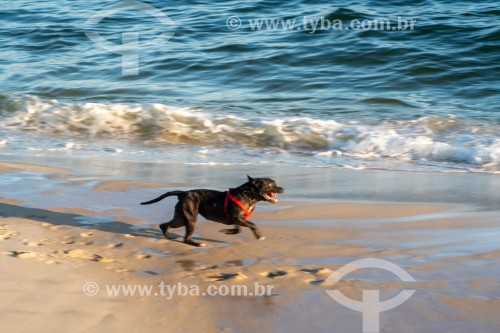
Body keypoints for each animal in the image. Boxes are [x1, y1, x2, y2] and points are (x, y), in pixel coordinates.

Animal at [141, 175, 284, 245]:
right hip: (190, 219)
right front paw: (259, 235)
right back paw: (196, 244)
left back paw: (167, 234)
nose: (282, 188)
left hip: (180, 218)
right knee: (186, 238)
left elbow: (238, 230)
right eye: (270, 185)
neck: (248, 194)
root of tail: (182, 193)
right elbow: (253, 225)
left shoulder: (238, 219)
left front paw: (227, 231)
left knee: (165, 225)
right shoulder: (237, 218)